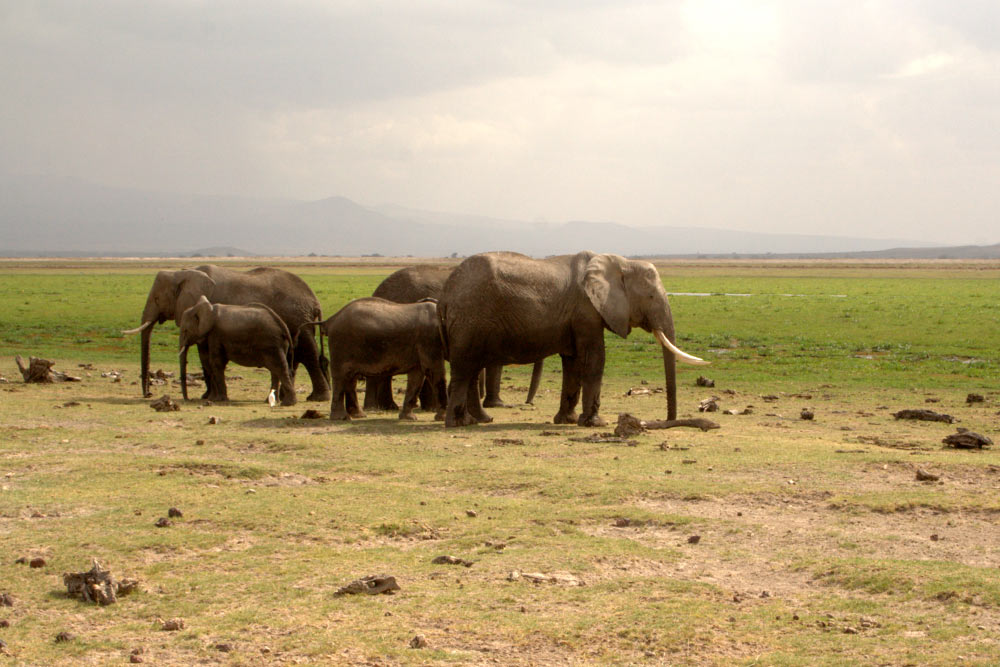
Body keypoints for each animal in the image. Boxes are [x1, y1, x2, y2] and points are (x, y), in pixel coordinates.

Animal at [123, 266, 330, 402]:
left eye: (157, 299)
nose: (148, 394)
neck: (184, 273)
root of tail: (315, 301)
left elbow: (206, 356)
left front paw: (210, 397)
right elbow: (204, 355)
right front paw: (206, 396)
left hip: (298, 318)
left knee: (308, 355)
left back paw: (316, 398)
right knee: (295, 358)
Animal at [318, 298, 448, 422]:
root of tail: (331, 319)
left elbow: (417, 376)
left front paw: (408, 418)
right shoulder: (430, 339)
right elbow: (433, 370)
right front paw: (442, 418)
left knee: (350, 378)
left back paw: (358, 415)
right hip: (340, 345)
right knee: (340, 377)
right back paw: (342, 418)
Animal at [440, 250, 712, 428]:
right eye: (651, 296)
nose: (666, 421)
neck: (622, 262)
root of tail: (446, 292)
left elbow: (572, 363)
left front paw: (567, 421)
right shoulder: (586, 311)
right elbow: (594, 359)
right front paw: (595, 423)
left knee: (471, 370)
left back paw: (478, 421)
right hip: (469, 319)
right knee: (464, 369)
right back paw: (458, 424)